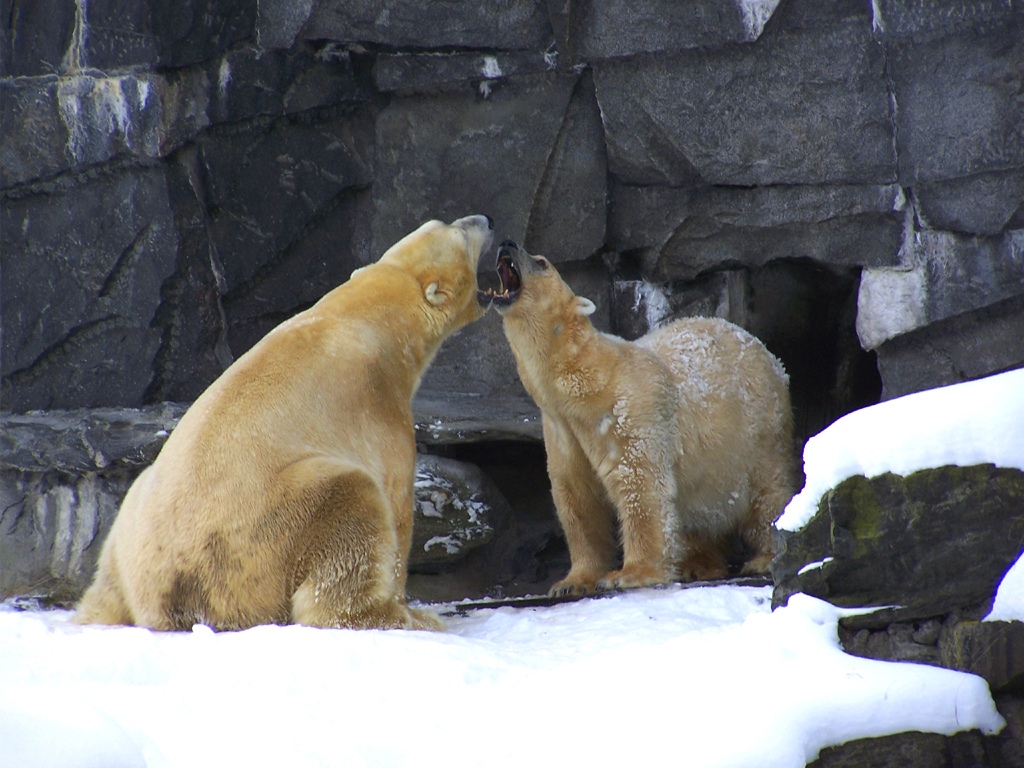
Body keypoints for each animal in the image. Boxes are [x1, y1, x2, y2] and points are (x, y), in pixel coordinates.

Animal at [74, 215, 491, 630]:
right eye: (460, 233)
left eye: (443, 222)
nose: (483, 219)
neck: (369, 319)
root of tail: (164, 603)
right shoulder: (379, 406)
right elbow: (397, 503)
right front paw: (408, 603)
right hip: (265, 535)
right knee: (350, 504)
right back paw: (403, 618)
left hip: (132, 523)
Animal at [481, 243, 798, 598]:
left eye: (540, 261)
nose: (507, 243)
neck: (584, 384)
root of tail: (769, 355)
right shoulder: (561, 430)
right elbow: (577, 498)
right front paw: (571, 581)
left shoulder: (627, 411)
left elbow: (640, 485)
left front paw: (628, 574)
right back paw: (697, 564)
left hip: (759, 430)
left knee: (766, 493)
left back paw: (765, 556)